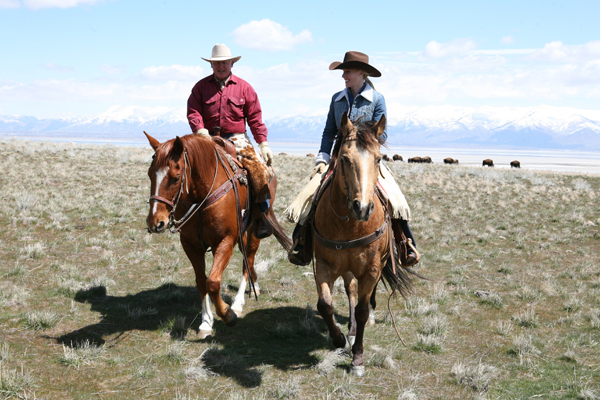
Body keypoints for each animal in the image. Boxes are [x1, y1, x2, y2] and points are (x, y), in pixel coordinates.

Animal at [144, 133, 292, 340]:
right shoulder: (191, 245)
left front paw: (228, 315)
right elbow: (201, 282)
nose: (156, 223)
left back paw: (238, 302)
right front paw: (206, 322)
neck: (202, 195)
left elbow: (213, 282)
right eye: (150, 174)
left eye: (175, 178)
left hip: (254, 231)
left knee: (248, 260)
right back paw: (254, 284)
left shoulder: (225, 242)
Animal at [312, 114, 414, 376]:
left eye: (379, 159)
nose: (363, 208)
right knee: (351, 290)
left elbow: (362, 310)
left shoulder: (371, 268)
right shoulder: (324, 265)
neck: (349, 225)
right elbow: (325, 305)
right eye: (345, 159)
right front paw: (339, 339)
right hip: (347, 268)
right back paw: (349, 331)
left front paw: (357, 358)